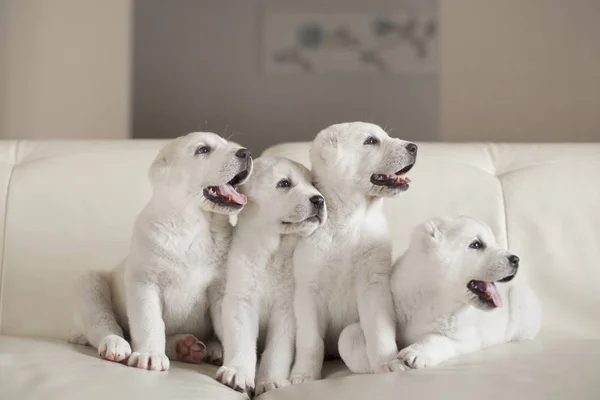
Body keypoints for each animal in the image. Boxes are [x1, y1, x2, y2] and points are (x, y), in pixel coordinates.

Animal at [71, 133, 253, 370]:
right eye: (203, 150)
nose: (246, 153)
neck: (195, 226)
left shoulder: (221, 290)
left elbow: (232, 328)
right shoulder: (145, 283)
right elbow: (151, 323)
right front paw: (150, 355)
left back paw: (192, 348)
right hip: (89, 284)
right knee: (102, 322)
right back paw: (115, 344)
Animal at [216, 155, 326, 394]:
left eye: (314, 183)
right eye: (284, 183)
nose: (319, 200)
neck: (273, 253)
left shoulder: (286, 307)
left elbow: (278, 349)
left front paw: (270, 382)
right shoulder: (241, 298)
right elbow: (242, 339)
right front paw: (237, 373)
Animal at [290, 121, 418, 382]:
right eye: (371, 141)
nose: (414, 147)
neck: (349, 219)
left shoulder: (373, 286)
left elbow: (373, 333)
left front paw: (388, 363)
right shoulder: (308, 291)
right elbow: (310, 340)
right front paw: (304, 375)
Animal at [340, 216, 540, 372]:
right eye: (476, 244)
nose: (515, 259)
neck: (433, 297)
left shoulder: (464, 336)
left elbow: (440, 339)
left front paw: (414, 353)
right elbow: (347, 334)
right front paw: (375, 361)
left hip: (523, 305)